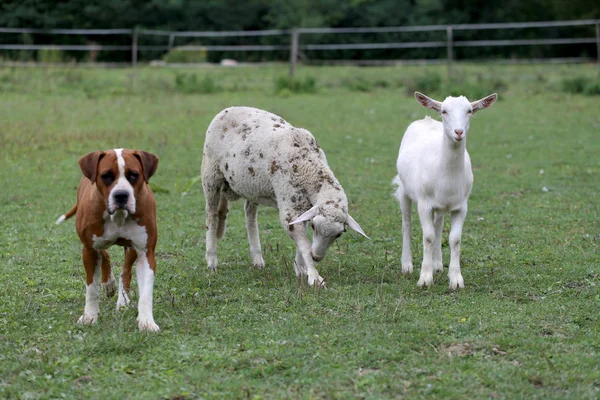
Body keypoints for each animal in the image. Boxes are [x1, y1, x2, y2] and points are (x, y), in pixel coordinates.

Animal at [57, 149, 161, 332]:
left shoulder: (145, 252)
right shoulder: (89, 250)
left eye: (133, 175)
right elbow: (91, 288)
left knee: (125, 271)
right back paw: (108, 283)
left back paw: (122, 301)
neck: (118, 216)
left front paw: (147, 321)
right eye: (106, 176)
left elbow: (146, 293)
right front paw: (89, 316)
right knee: (104, 254)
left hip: (131, 249)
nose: (121, 195)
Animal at [203, 106, 370, 286]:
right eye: (314, 226)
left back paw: (257, 259)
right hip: (210, 175)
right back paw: (211, 262)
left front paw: (300, 269)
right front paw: (314, 276)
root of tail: (229, 109)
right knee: (211, 216)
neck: (308, 167)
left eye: (339, 234)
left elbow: (301, 238)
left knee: (250, 215)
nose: (317, 257)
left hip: (252, 185)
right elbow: (304, 243)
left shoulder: (302, 206)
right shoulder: (290, 207)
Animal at [394, 92, 496, 290]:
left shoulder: (461, 206)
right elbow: (428, 237)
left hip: (441, 206)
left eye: (469, 110)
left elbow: (454, 239)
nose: (458, 132)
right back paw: (407, 265)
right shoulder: (424, 204)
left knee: (438, 225)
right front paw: (425, 279)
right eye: (444, 111)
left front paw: (456, 279)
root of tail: (426, 118)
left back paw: (438, 264)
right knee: (407, 224)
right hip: (404, 190)